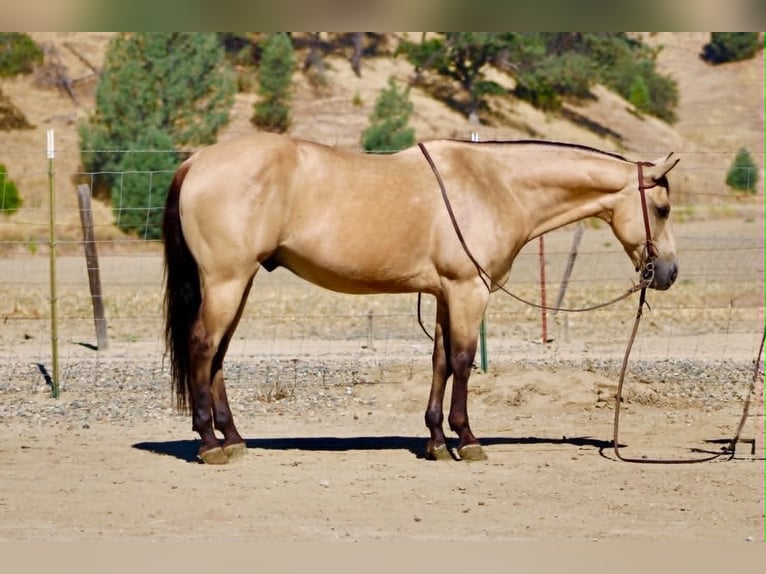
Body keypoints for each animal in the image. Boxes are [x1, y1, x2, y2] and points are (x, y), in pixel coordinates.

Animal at [162, 132, 680, 464]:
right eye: (662, 208)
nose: (669, 273)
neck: (494, 185)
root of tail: (197, 161)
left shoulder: (445, 292)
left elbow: (440, 361)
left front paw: (435, 440)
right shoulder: (469, 291)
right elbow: (463, 361)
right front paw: (466, 439)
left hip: (238, 283)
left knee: (218, 355)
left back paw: (233, 437)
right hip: (227, 280)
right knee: (203, 348)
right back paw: (209, 443)